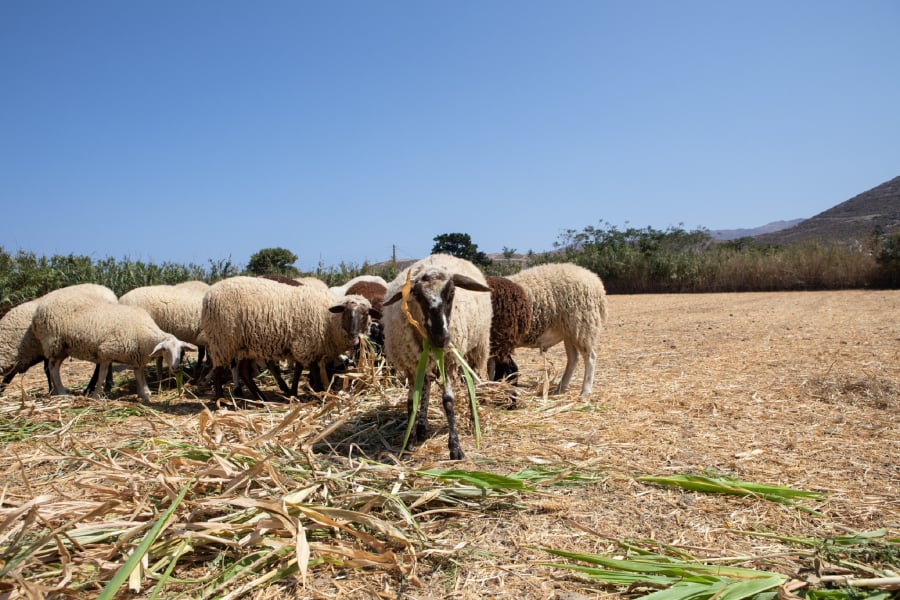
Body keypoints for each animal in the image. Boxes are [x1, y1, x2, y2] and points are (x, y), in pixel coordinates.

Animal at [199, 278, 378, 404]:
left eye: (365, 314)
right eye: (346, 313)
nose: (354, 338)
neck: (329, 320)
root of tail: (208, 295)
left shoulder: (303, 345)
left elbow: (299, 369)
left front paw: (294, 393)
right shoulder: (306, 343)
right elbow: (311, 369)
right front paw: (319, 392)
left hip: (245, 345)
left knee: (244, 371)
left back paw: (260, 397)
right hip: (223, 340)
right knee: (218, 369)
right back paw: (220, 400)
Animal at [380, 253, 492, 460]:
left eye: (452, 292)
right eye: (417, 295)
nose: (441, 338)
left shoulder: (447, 360)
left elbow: (448, 400)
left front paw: (455, 448)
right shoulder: (411, 365)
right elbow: (412, 402)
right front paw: (409, 442)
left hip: (476, 347)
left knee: (471, 382)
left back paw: (473, 420)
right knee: (427, 385)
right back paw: (422, 428)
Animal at [510, 262, 608, 398]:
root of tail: (596, 281)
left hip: (582, 325)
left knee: (590, 357)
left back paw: (585, 391)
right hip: (569, 332)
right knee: (573, 358)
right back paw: (561, 388)